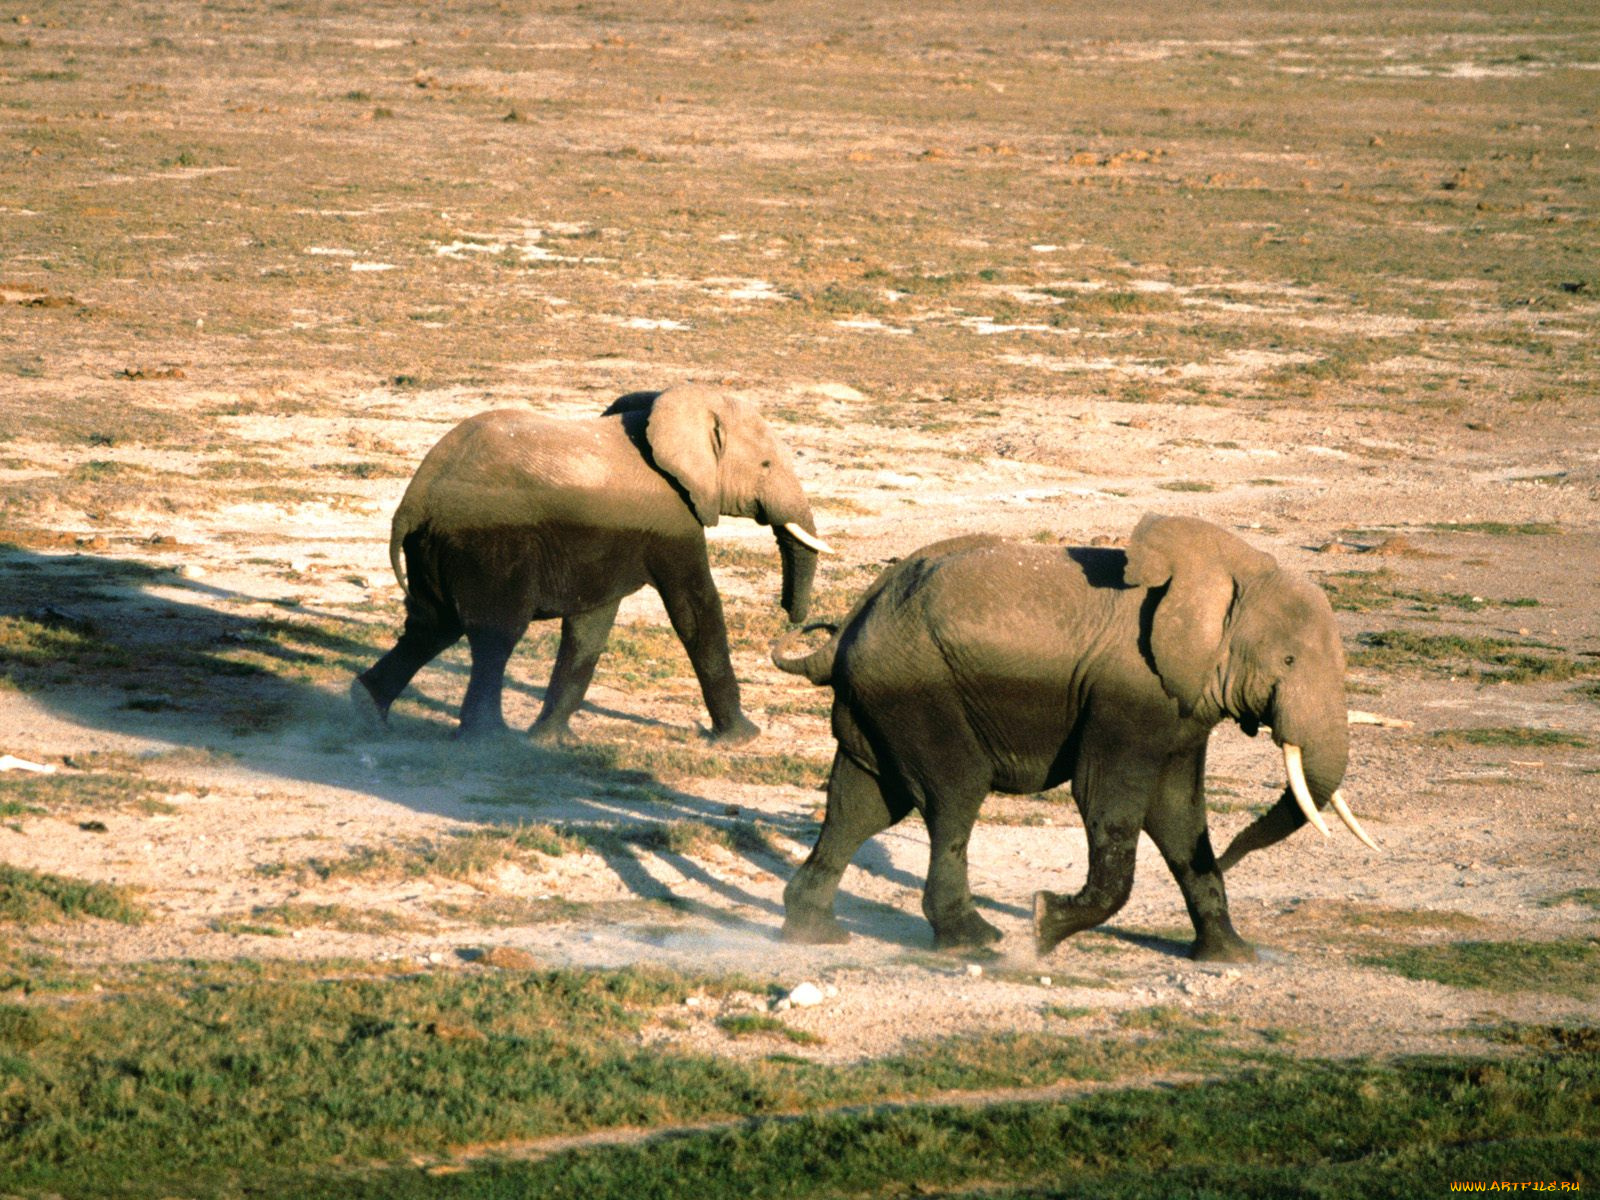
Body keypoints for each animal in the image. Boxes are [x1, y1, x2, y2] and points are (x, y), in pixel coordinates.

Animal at [354, 384, 832, 743]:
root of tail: (415, 500)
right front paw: (743, 738)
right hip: (487, 545)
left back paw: (366, 711)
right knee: (495, 634)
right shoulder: (673, 518)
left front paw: (550, 741)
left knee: (431, 626)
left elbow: (591, 626)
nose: (792, 618)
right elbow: (695, 611)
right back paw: (490, 740)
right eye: (766, 465)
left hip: (435, 548)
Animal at [771, 515, 1376, 961]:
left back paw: (815, 934)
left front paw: (1232, 956)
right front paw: (1043, 925)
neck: (1226, 572)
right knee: (953, 796)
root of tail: (849, 625)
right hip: (919, 690)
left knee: (862, 804)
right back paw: (977, 943)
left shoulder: (1182, 704)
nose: (1227, 860)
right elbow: (1108, 801)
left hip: (880, 698)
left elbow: (1178, 812)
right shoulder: (1127, 692)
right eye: (1289, 660)